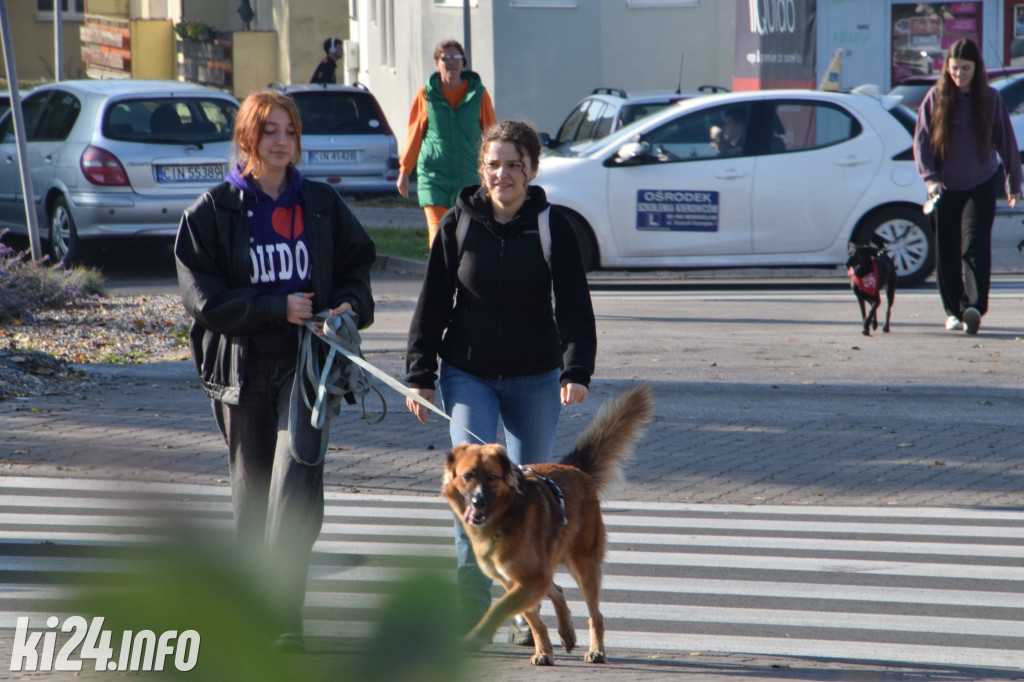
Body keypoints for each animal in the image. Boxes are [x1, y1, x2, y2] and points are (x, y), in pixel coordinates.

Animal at [442, 382, 651, 663]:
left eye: (492, 477)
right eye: (468, 476)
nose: (478, 503)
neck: (505, 517)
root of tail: (576, 470)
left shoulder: (530, 578)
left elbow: (501, 608)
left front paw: (478, 635)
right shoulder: (515, 579)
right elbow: (531, 617)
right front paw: (543, 649)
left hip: (583, 565)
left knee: (595, 614)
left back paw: (596, 649)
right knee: (557, 590)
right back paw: (566, 633)